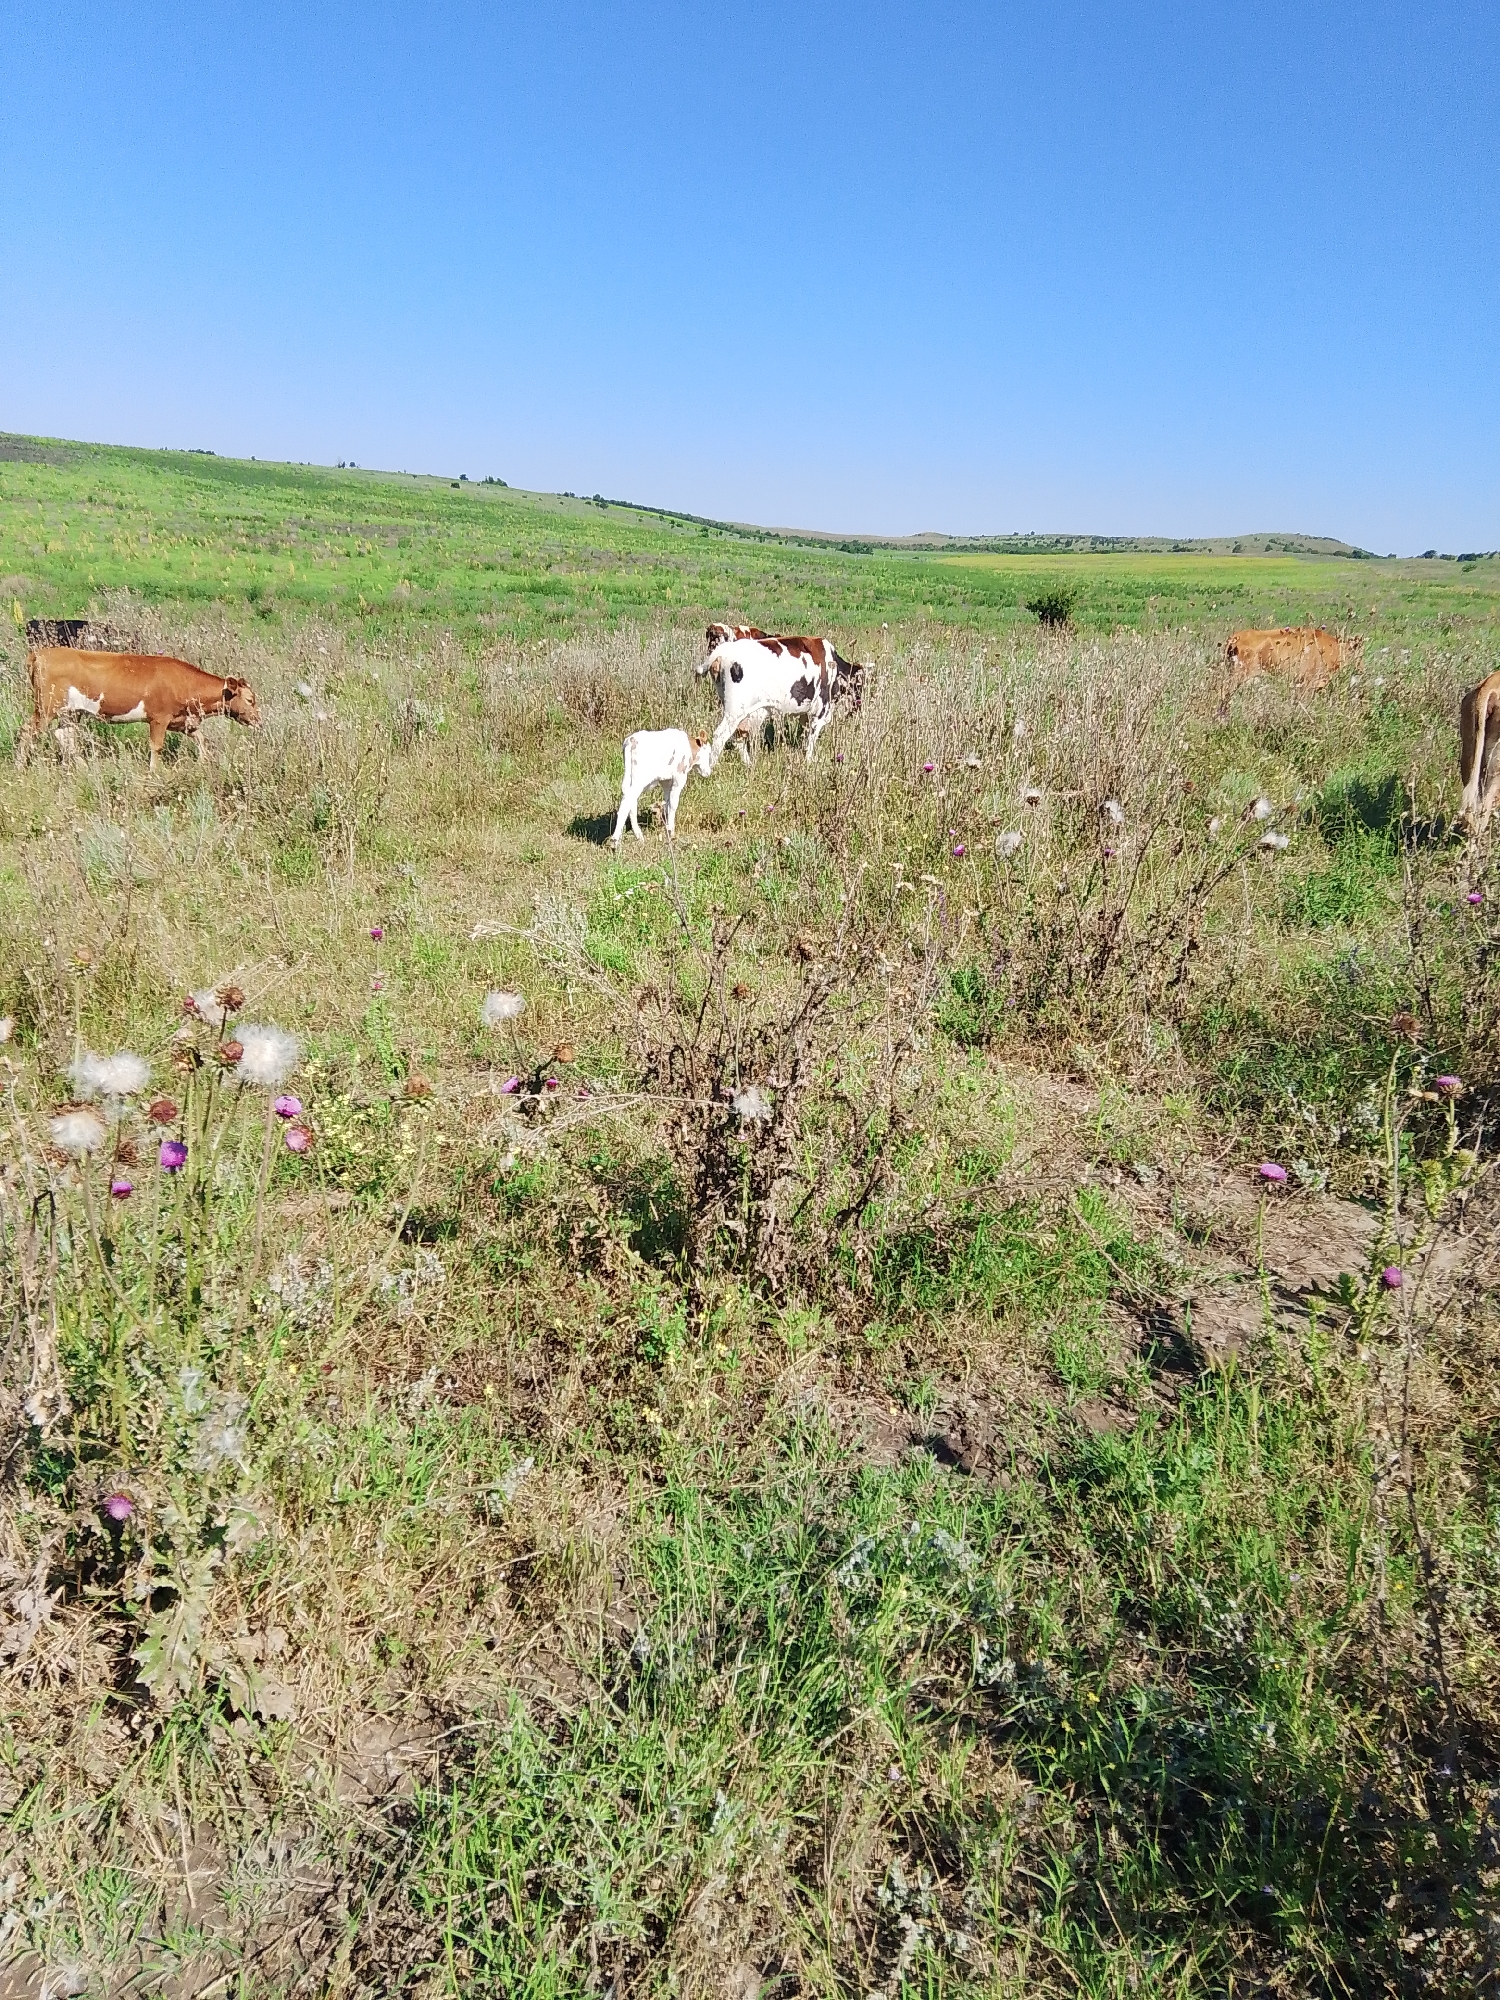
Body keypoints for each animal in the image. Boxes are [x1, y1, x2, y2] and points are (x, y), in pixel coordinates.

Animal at [17, 649, 260, 769]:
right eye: (250, 700)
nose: (258, 720)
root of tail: (40, 652)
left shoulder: (181, 720)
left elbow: (201, 739)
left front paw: (204, 762)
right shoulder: (159, 718)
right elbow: (156, 746)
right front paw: (154, 772)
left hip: (70, 712)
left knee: (64, 736)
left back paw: (83, 767)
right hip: (46, 707)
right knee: (27, 731)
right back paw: (19, 768)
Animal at [695, 629, 867, 764]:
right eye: (860, 685)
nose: (860, 705)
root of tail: (723, 651)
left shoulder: (805, 712)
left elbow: (805, 735)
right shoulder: (821, 710)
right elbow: (811, 738)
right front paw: (808, 761)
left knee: (739, 735)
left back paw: (748, 764)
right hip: (735, 709)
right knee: (721, 734)